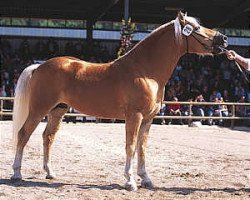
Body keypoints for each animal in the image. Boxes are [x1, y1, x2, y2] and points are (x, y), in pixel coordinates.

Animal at [10, 11, 228, 191]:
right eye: (196, 28)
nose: (224, 39)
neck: (145, 71)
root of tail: (39, 67)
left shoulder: (148, 119)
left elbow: (142, 147)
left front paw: (146, 179)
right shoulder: (134, 116)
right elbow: (130, 146)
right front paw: (130, 181)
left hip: (58, 110)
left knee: (48, 137)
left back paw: (49, 173)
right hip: (39, 109)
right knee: (23, 134)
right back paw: (17, 173)